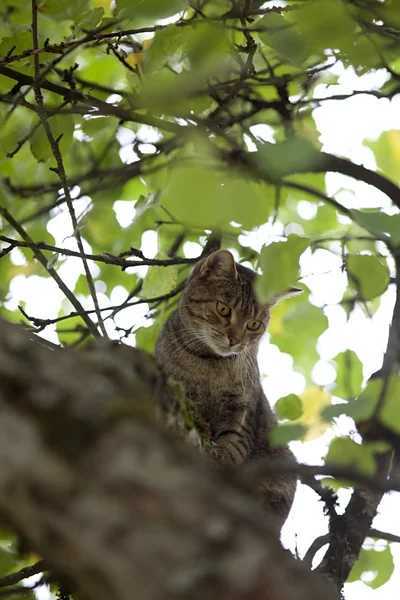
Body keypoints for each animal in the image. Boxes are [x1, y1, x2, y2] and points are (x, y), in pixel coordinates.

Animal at [156, 250, 300, 528]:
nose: (236, 340)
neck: (209, 364)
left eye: (254, 324)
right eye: (223, 309)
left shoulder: (243, 408)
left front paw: (224, 457)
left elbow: (235, 440)